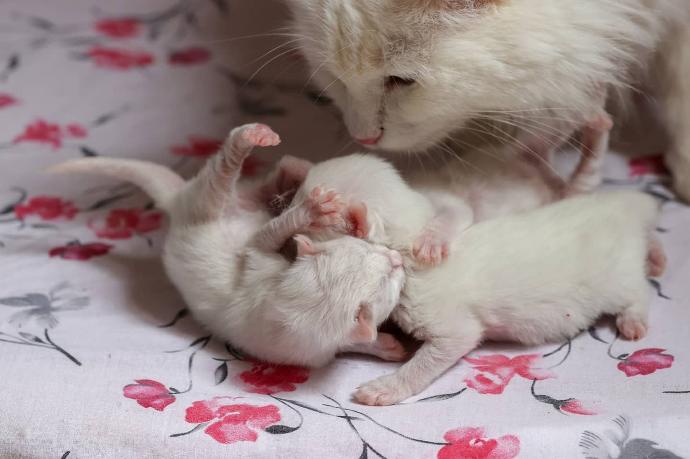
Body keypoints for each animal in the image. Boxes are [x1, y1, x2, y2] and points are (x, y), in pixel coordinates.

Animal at [51, 124, 406, 368]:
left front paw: (386, 346)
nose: (396, 258)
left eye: (380, 262)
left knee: (260, 185)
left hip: (230, 199)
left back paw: (292, 172)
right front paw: (314, 213)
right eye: (387, 275)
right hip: (206, 204)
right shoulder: (257, 259)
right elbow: (265, 237)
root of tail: (176, 202)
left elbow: (349, 342)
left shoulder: (318, 347)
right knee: (223, 171)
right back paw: (257, 142)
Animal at [352, 190, 664, 406]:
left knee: (639, 288)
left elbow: (434, 355)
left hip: (615, 277)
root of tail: (620, 204)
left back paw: (634, 316)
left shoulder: (445, 319)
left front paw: (385, 388)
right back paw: (657, 257)